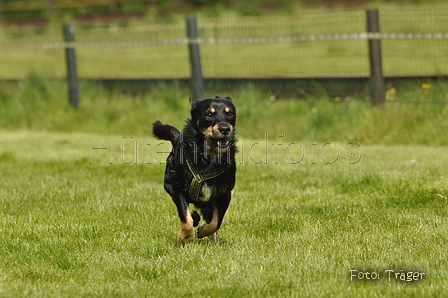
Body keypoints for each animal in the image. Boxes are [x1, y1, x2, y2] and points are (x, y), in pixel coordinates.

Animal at [152, 96, 236, 243]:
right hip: (169, 184)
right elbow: (186, 218)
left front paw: (203, 231)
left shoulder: (224, 194)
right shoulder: (178, 190)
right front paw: (185, 237)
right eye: (209, 114)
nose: (225, 129)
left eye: (230, 113)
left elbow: (216, 222)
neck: (209, 156)